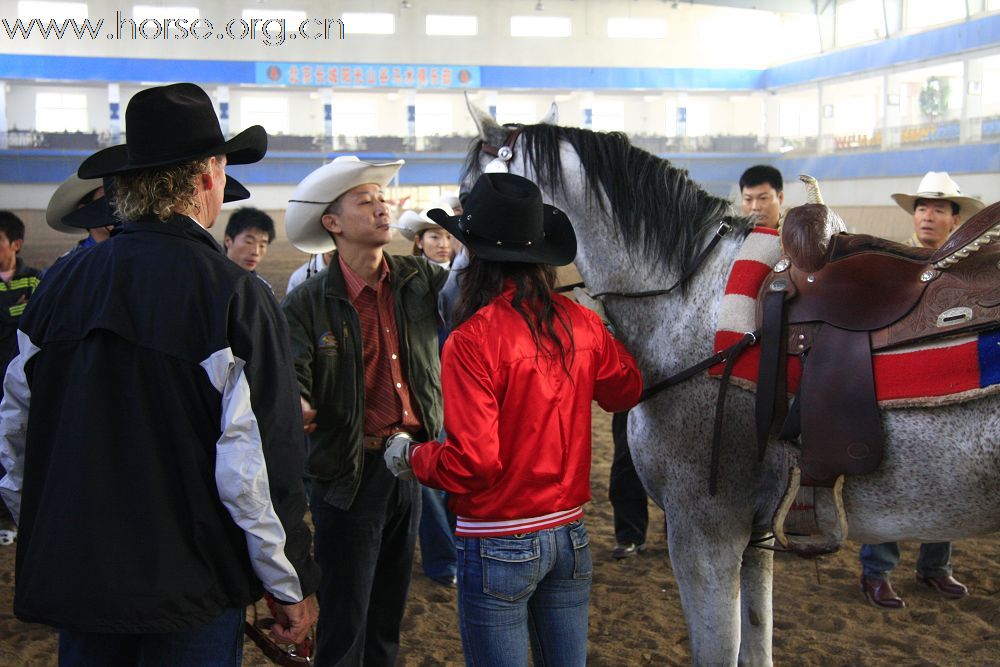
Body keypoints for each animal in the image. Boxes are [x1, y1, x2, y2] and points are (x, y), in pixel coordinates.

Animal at [462, 102, 1000, 664]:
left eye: (465, 196)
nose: (457, 295)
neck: (692, 300)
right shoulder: (756, 530)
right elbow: (757, 642)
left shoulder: (705, 531)